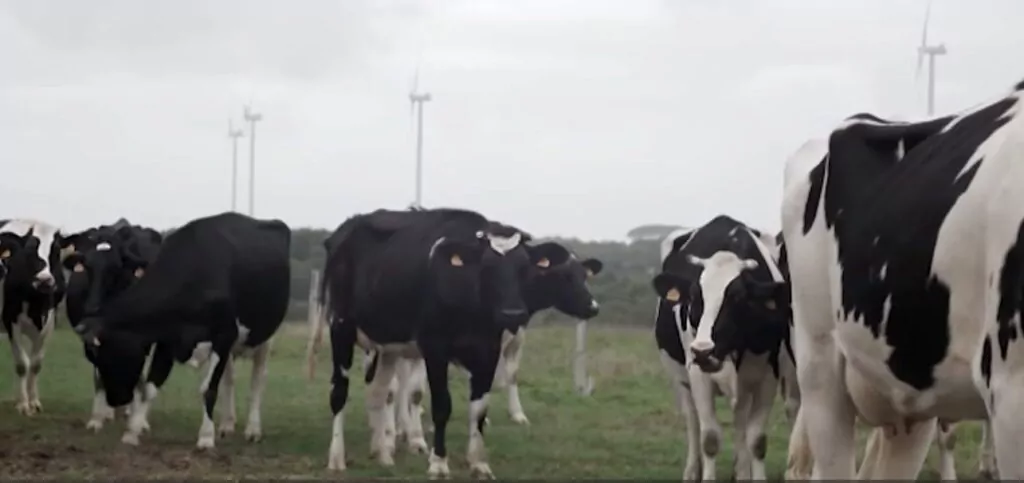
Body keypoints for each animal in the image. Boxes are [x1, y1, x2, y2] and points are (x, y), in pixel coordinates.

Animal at [0, 219, 74, 416]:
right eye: (29, 249)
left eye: (56, 250)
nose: (44, 280)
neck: (36, 302)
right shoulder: (10, 321)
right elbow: (22, 364)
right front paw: (23, 404)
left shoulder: (49, 323)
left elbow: (35, 364)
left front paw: (33, 402)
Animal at [60, 218, 163, 431]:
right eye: (87, 267)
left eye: (115, 268)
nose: (92, 307)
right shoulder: (89, 340)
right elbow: (99, 376)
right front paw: (97, 419)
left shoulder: (142, 340)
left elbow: (138, 375)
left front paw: (136, 419)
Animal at [71, 212, 291, 449]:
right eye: (94, 359)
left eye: (111, 354)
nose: (116, 400)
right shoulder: (167, 340)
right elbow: (151, 386)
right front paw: (132, 431)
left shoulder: (224, 335)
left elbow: (208, 389)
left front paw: (206, 437)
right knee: (229, 379)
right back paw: (227, 424)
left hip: (263, 337)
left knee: (258, 380)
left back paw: (253, 429)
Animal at [314, 207, 557, 479]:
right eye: (486, 267)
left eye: (524, 268)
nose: (513, 313)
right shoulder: (435, 350)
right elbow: (442, 406)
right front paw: (439, 463)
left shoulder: (489, 352)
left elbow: (479, 409)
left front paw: (479, 463)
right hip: (341, 329)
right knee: (339, 393)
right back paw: (337, 458)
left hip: (387, 346)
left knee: (379, 392)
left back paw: (383, 454)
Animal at [650, 215, 791, 481]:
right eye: (694, 298)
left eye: (737, 297)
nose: (702, 350)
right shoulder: (698, 376)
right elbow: (710, 439)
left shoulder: (769, 376)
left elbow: (756, 439)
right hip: (680, 379)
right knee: (693, 422)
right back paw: (692, 470)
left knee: (740, 421)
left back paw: (741, 469)